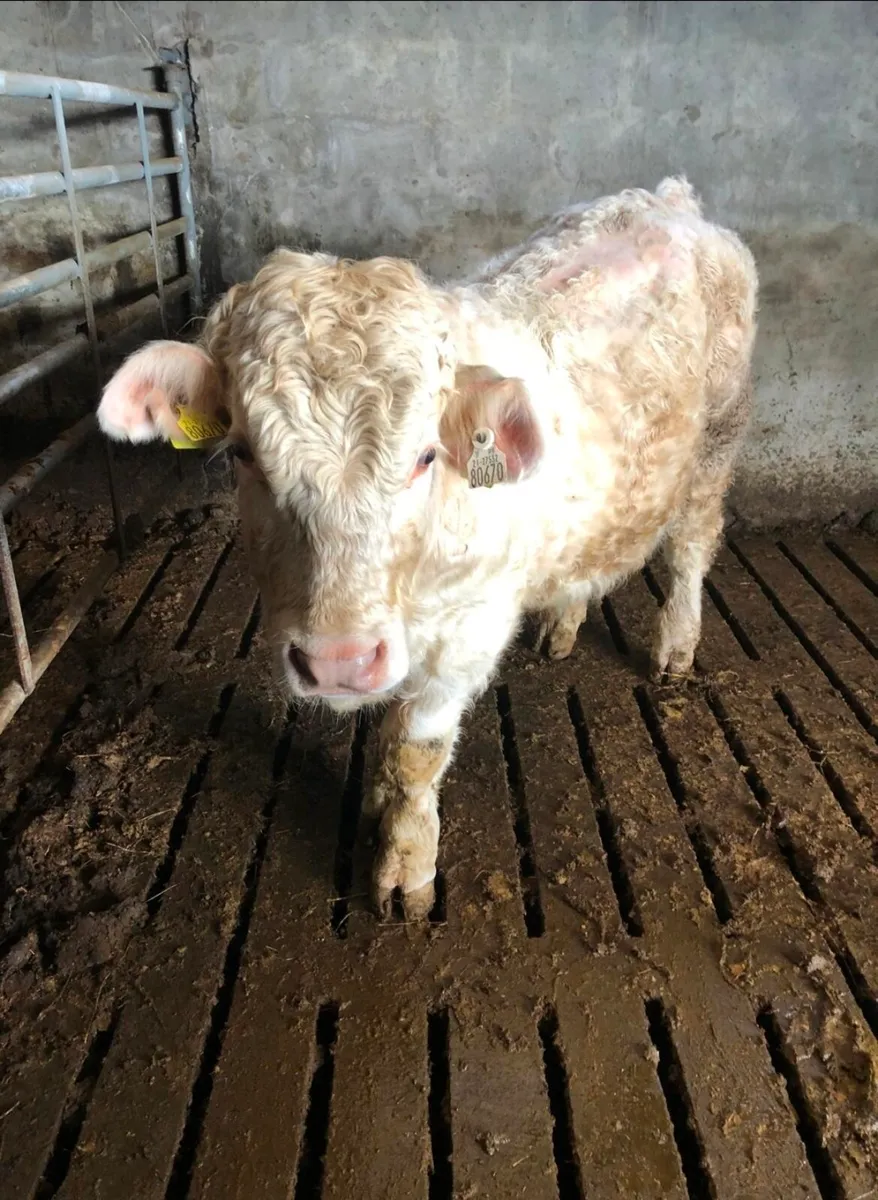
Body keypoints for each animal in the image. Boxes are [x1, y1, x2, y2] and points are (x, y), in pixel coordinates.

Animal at [97, 177, 758, 920]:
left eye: (424, 455)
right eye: (242, 453)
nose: (338, 662)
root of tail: (665, 199)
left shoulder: (469, 633)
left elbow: (417, 747)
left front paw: (405, 864)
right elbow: (387, 736)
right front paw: (379, 803)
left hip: (716, 444)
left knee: (691, 550)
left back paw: (675, 644)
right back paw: (564, 622)